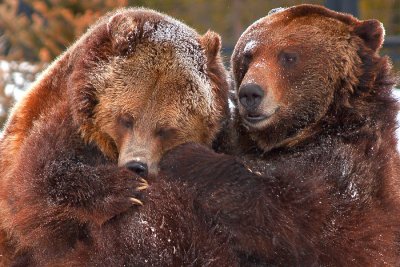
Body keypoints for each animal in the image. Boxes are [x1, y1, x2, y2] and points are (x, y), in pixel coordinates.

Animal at [0, 7, 233, 266]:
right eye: (126, 119)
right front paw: (126, 188)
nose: (136, 166)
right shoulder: (61, 120)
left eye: (165, 129)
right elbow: (31, 187)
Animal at [159, 4, 400, 267]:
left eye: (289, 56)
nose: (250, 93)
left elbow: (284, 216)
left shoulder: (346, 169)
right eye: (248, 55)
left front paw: (182, 154)